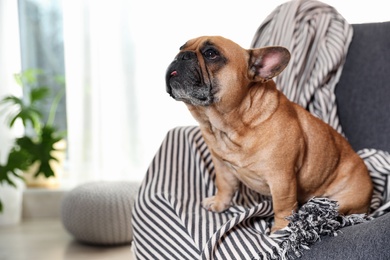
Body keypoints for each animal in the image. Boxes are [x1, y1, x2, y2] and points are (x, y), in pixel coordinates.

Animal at [164, 35, 372, 232]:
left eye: (210, 53)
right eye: (181, 47)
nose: (181, 56)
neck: (230, 125)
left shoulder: (281, 178)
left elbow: (283, 205)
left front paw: (280, 230)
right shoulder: (222, 166)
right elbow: (224, 185)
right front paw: (219, 203)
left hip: (342, 201)